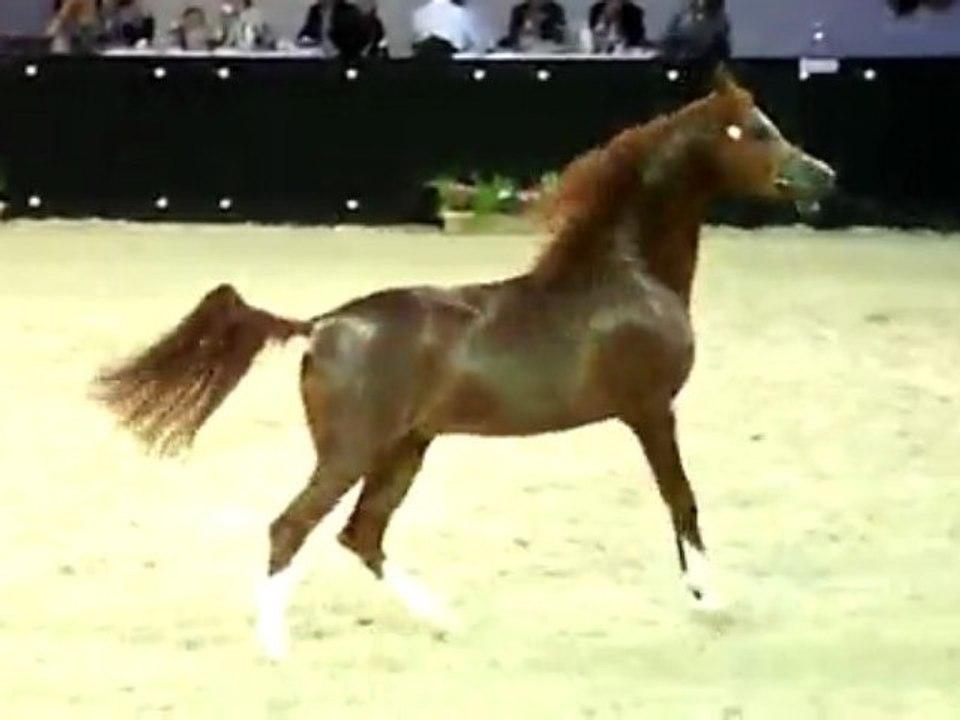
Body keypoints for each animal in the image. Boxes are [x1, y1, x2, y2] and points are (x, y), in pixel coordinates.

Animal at [90, 67, 835, 660]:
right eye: (757, 130)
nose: (826, 176)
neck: (627, 274)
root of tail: (322, 325)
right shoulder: (650, 411)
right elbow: (682, 500)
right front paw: (712, 600)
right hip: (353, 451)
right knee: (293, 528)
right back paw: (277, 648)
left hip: (405, 449)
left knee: (361, 536)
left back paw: (445, 621)